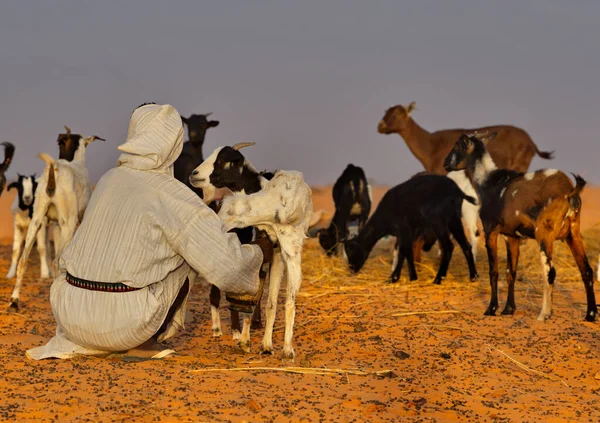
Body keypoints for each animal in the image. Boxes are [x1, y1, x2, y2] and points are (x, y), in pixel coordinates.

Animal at [191, 143, 314, 362]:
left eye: (223, 160)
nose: (194, 174)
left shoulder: (285, 252)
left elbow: (281, 302)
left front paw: (283, 349)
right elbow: (263, 299)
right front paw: (250, 342)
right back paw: (222, 329)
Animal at [342, 174, 478, 286]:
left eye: (351, 250)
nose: (352, 269)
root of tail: (458, 191)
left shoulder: (404, 228)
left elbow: (406, 250)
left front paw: (408, 277)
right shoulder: (410, 231)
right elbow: (404, 251)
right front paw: (396, 277)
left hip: (439, 222)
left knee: (449, 246)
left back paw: (439, 278)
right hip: (454, 219)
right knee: (466, 245)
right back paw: (473, 276)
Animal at [442, 131, 596, 322]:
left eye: (457, 146)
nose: (445, 163)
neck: (488, 182)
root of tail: (570, 190)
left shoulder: (490, 232)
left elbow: (494, 272)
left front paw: (491, 308)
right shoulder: (511, 237)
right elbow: (511, 272)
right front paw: (509, 309)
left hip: (544, 235)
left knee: (550, 272)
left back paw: (544, 314)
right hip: (573, 234)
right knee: (586, 271)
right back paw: (590, 315)